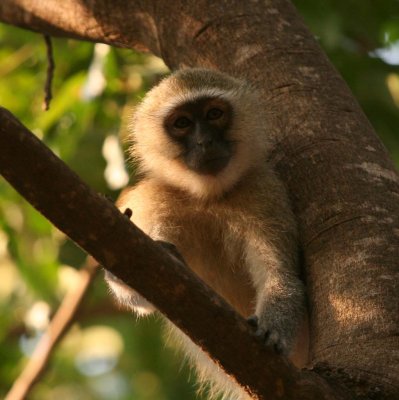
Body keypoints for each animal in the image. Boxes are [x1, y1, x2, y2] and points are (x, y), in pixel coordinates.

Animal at [104, 67, 308, 398]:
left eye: (214, 114)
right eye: (182, 123)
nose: (205, 142)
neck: (208, 198)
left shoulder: (265, 192)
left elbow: (281, 277)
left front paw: (274, 330)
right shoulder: (151, 202)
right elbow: (139, 295)